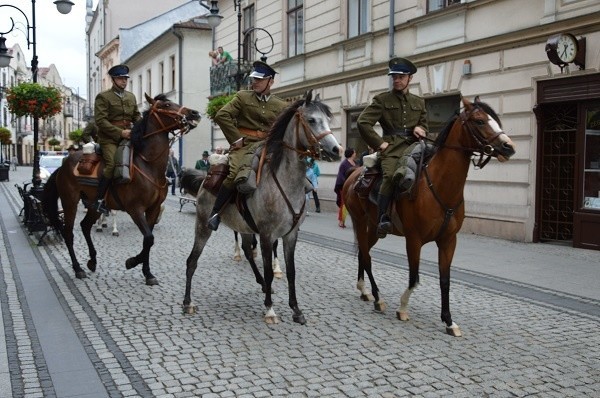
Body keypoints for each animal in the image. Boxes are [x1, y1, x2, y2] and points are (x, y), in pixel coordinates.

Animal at [43, 93, 202, 284]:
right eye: (166, 105)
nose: (194, 113)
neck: (148, 165)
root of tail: (63, 165)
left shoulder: (153, 209)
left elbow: (148, 241)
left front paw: (147, 273)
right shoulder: (135, 209)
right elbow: (149, 238)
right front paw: (132, 262)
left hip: (92, 205)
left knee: (85, 226)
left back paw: (92, 261)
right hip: (70, 202)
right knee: (68, 232)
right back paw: (78, 268)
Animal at [342, 96, 516, 336]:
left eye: (495, 120)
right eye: (480, 121)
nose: (509, 147)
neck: (439, 186)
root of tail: (354, 175)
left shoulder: (448, 241)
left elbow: (445, 280)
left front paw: (449, 321)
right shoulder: (414, 240)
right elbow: (414, 277)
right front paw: (402, 307)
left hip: (375, 227)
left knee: (363, 252)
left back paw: (365, 291)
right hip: (359, 221)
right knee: (366, 257)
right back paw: (377, 298)